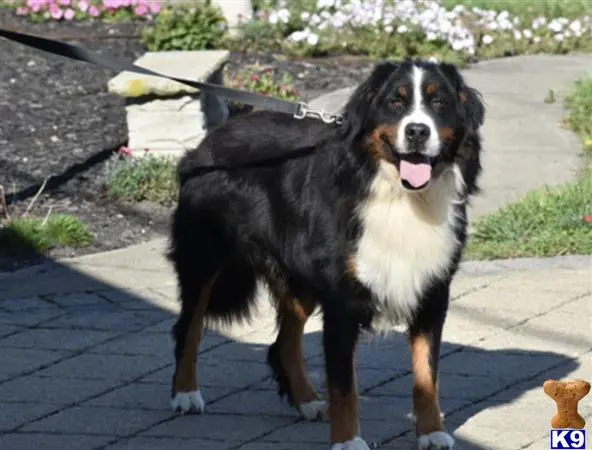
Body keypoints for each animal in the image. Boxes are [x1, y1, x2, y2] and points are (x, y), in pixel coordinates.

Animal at [166, 59, 486, 450]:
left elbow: (427, 374)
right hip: (204, 259)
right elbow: (344, 386)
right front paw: (348, 440)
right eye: (395, 103)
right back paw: (185, 394)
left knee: (284, 343)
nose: (416, 132)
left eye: (438, 102)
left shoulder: (432, 291)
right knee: (190, 327)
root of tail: (212, 137)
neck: (401, 197)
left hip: (298, 279)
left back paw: (307, 401)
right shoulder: (342, 300)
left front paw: (432, 433)